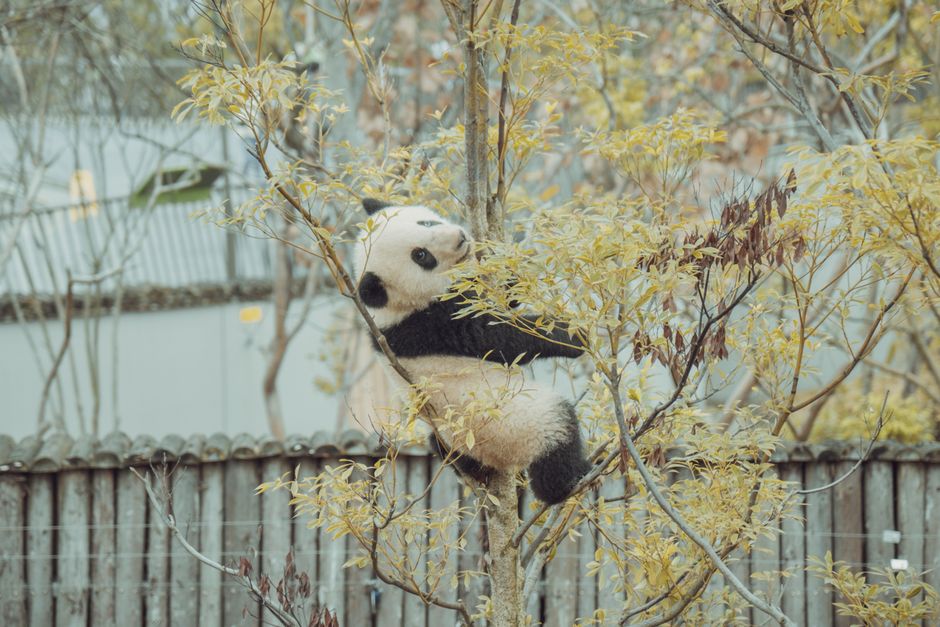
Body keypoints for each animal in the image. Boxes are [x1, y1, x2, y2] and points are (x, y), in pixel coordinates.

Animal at [354, 198, 592, 505]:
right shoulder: (430, 325)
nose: (459, 238)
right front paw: (572, 335)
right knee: (556, 429)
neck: (391, 309)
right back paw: (570, 480)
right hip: (512, 424)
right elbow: (497, 338)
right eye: (421, 256)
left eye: (425, 223)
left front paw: (511, 269)